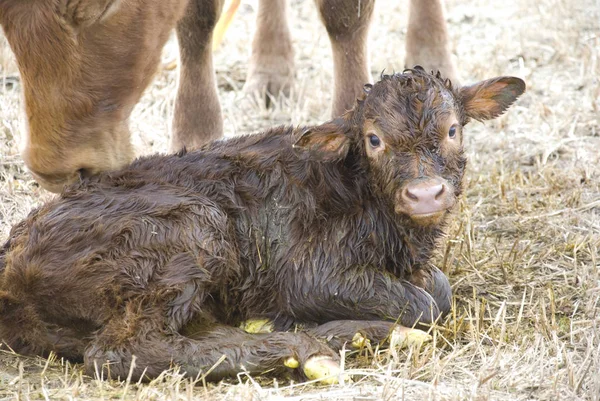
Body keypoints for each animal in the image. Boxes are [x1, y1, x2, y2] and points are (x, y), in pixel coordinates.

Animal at [0, 0, 458, 194]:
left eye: (96, 6)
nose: (56, 171)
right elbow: (196, 19)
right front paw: (196, 133)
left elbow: (344, 16)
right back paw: (271, 72)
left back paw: (432, 55)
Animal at [0, 68, 524, 382]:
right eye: (374, 139)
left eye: (452, 129)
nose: (425, 194)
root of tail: (11, 259)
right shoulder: (308, 274)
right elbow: (422, 303)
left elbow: (438, 289)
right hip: (188, 232)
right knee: (121, 350)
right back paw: (306, 345)